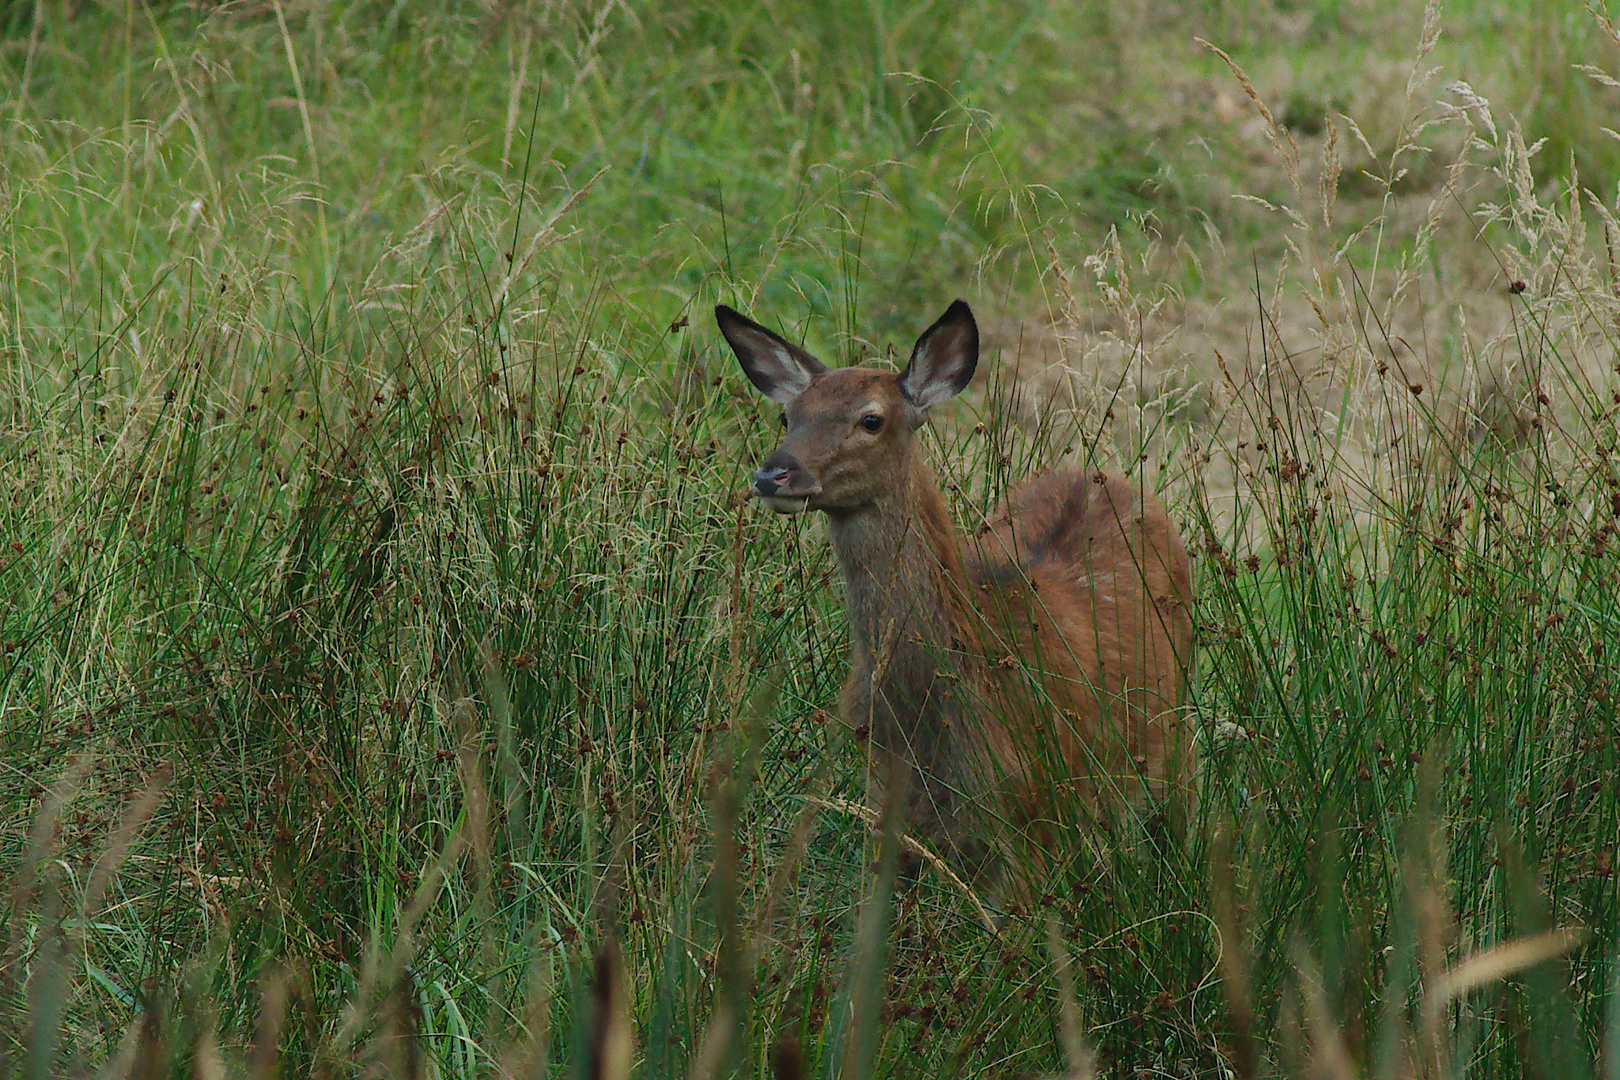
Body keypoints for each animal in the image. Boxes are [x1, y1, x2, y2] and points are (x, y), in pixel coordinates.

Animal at [716, 299, 1198, 900]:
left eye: (871, 419)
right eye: (788, 416)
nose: (774, 473)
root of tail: (1104, 475)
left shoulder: (1030, 809)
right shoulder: (886, 805)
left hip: (1171, 735)